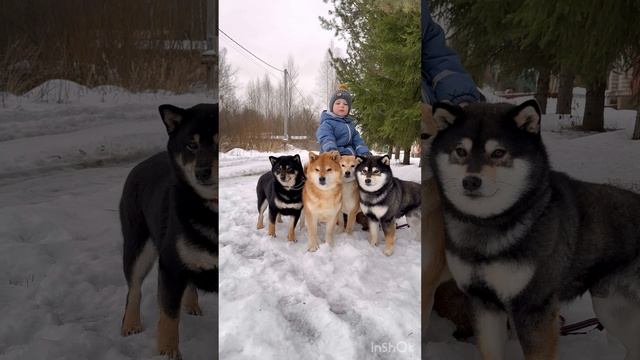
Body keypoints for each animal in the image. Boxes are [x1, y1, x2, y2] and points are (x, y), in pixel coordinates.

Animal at [119, 102, 218, 358]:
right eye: (191, 145)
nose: (202, 172)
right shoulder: (171, 267)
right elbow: (169, 318)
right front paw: (167, 352)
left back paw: (192, 305)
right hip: (138, 247)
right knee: (134, 289)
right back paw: (130, 324)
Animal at [430, 100, 640, 360]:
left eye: (498, 152)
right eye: (460, 151)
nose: (470, 181)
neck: (488, 225)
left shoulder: (534, 307)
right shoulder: (482, 302)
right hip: (613, 306)